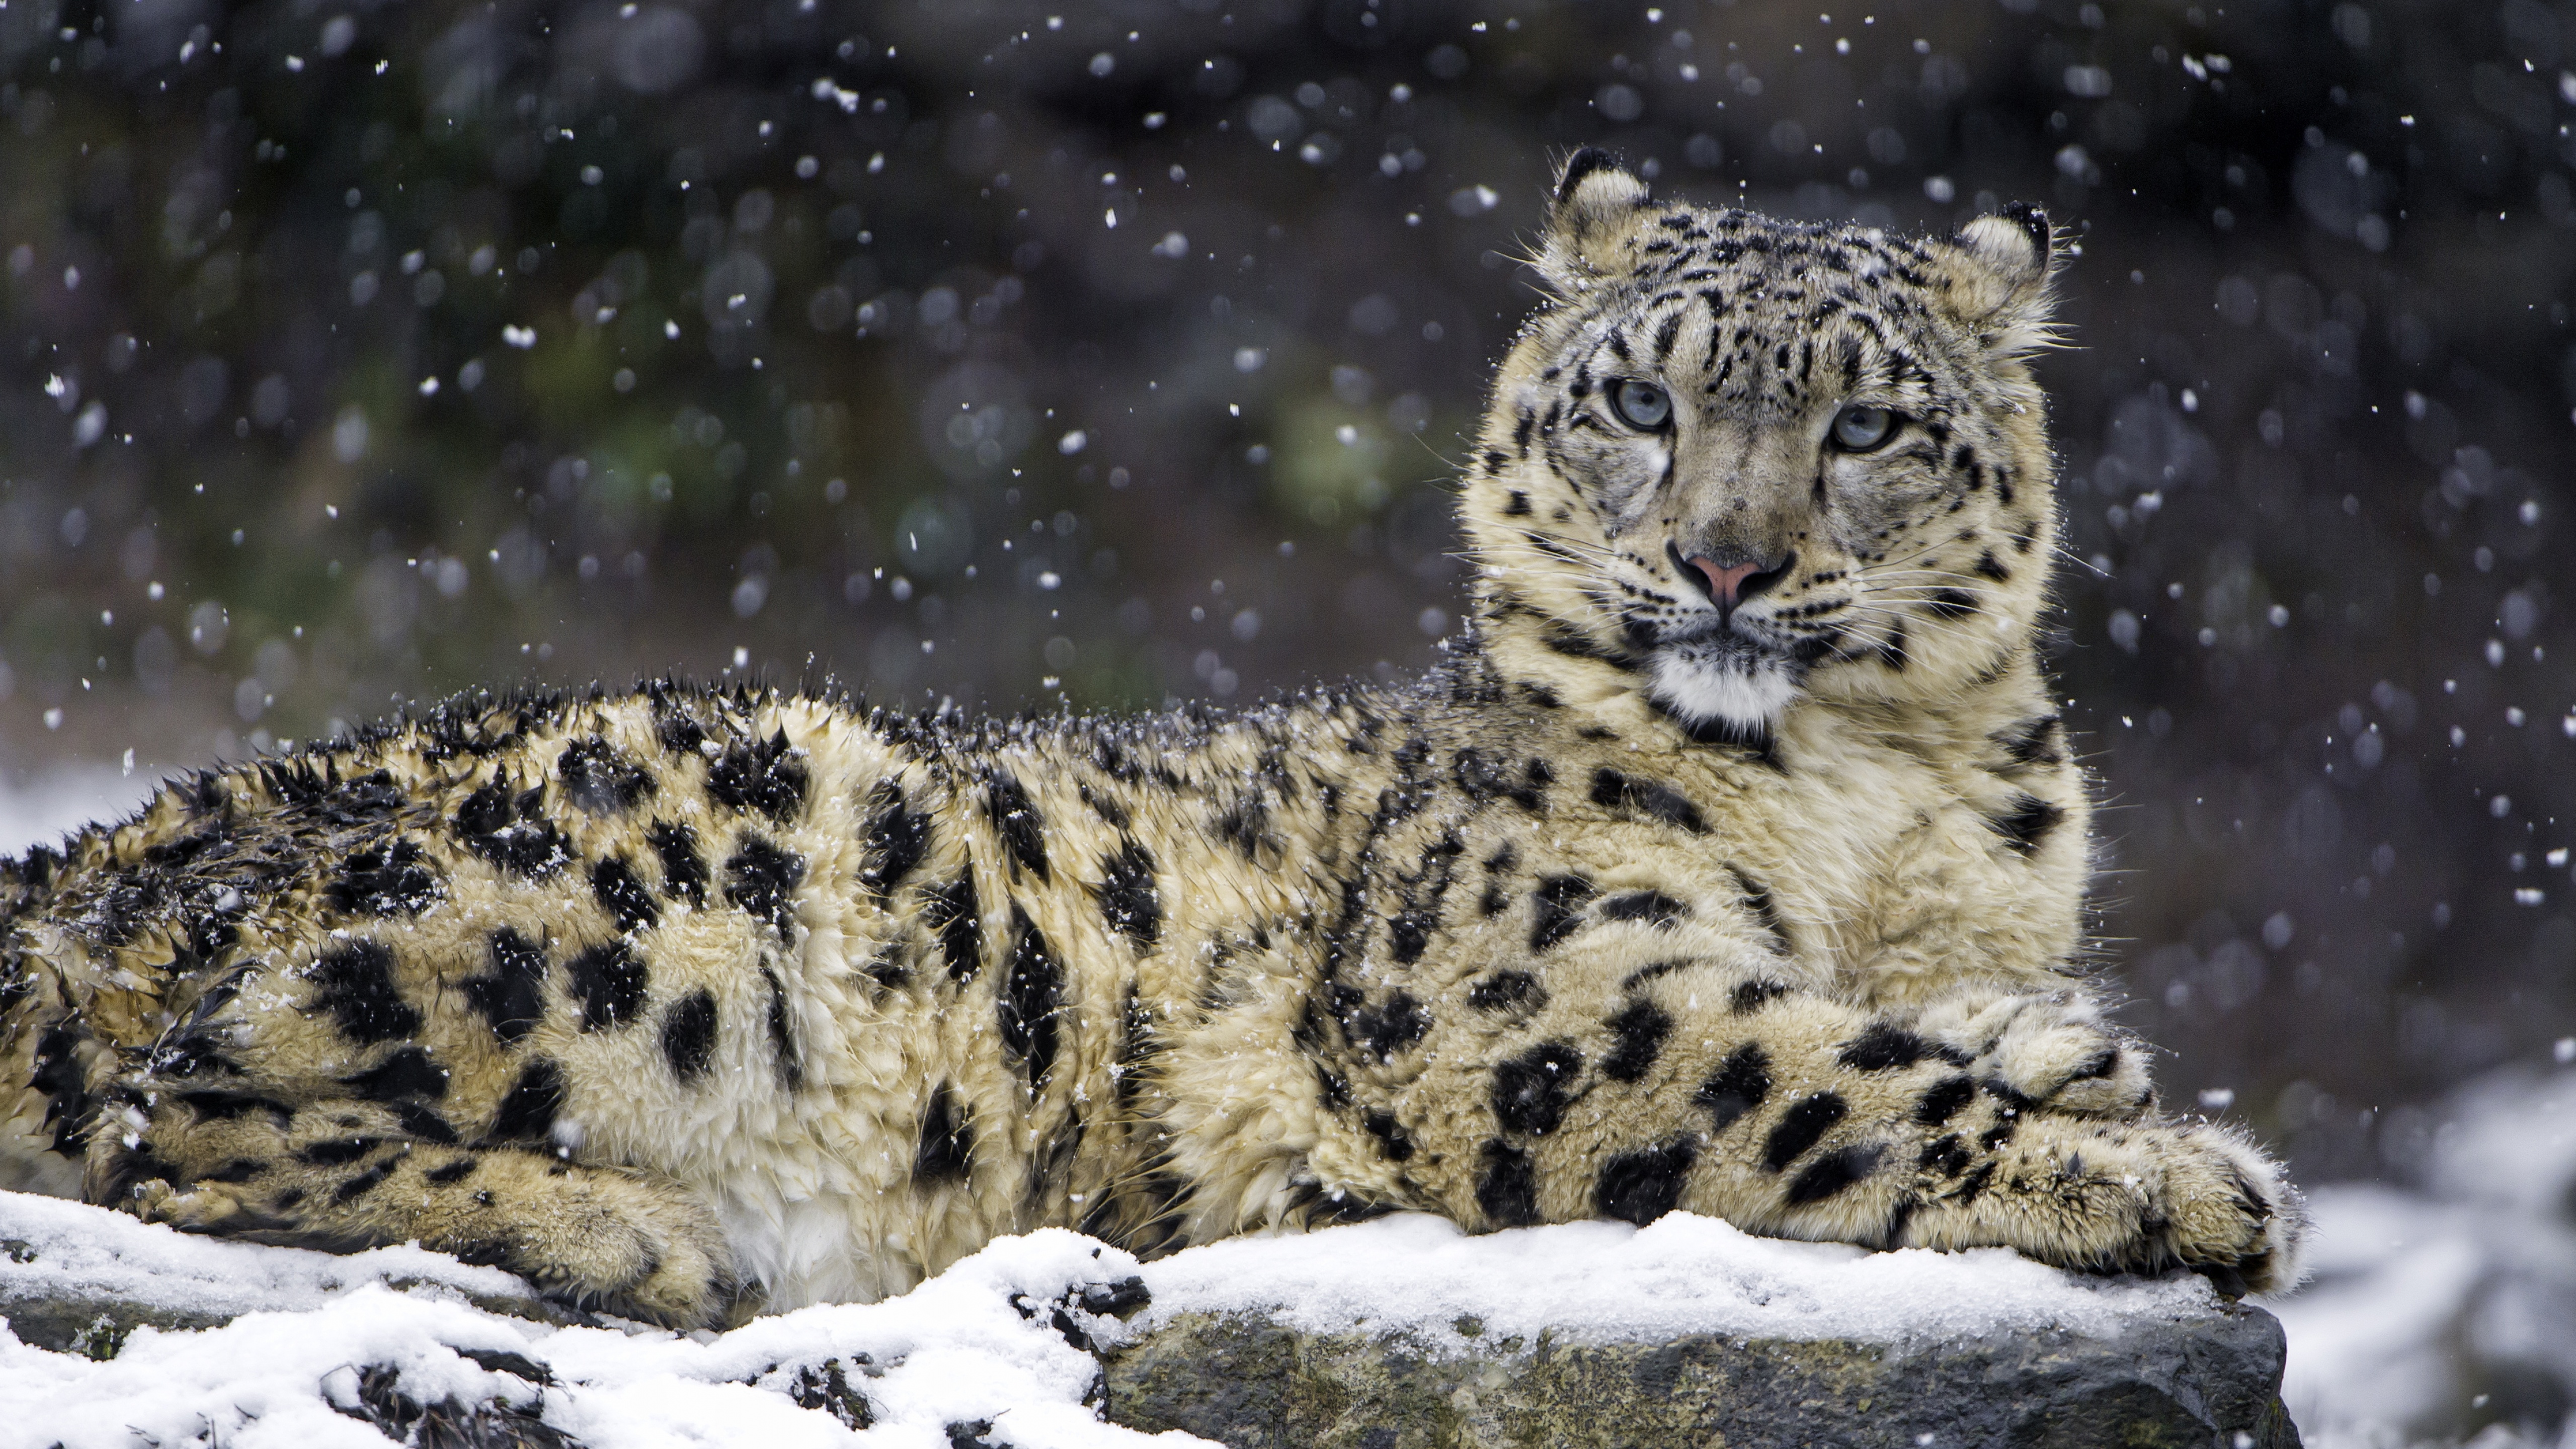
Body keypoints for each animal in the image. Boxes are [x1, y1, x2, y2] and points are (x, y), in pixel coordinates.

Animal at [0, 155, 2298, 1320]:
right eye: (1640, 401)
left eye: (1868, 424)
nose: (1726, 565)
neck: (1872, 799)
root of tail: (92, 853)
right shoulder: (1518, 984)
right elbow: (1812, 1075)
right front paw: (2163, 1175)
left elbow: (1909, 1016)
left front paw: (2076, 1052)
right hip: (679, 863)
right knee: (162, 1114)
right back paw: (621, 1228)